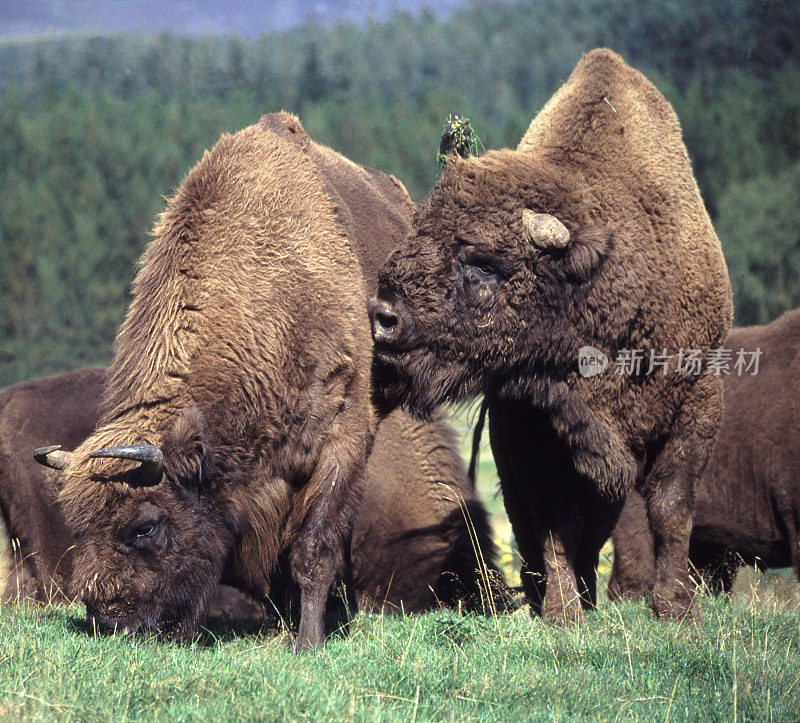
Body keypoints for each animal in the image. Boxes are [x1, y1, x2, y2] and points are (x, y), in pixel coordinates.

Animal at [32, 114, 412, 652]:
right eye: (76, 526)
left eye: (145, 526)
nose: (112, 623)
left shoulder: (340, 443)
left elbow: (313, 548)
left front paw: (308, 641)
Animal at [368, 48, 732, 624]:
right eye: (418, 230)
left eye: (483, 263)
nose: (383, 316)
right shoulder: (537, 429)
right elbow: (556, 522)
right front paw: (563, 615)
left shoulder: (695, 402)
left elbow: (671, 506)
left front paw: (676, 609)